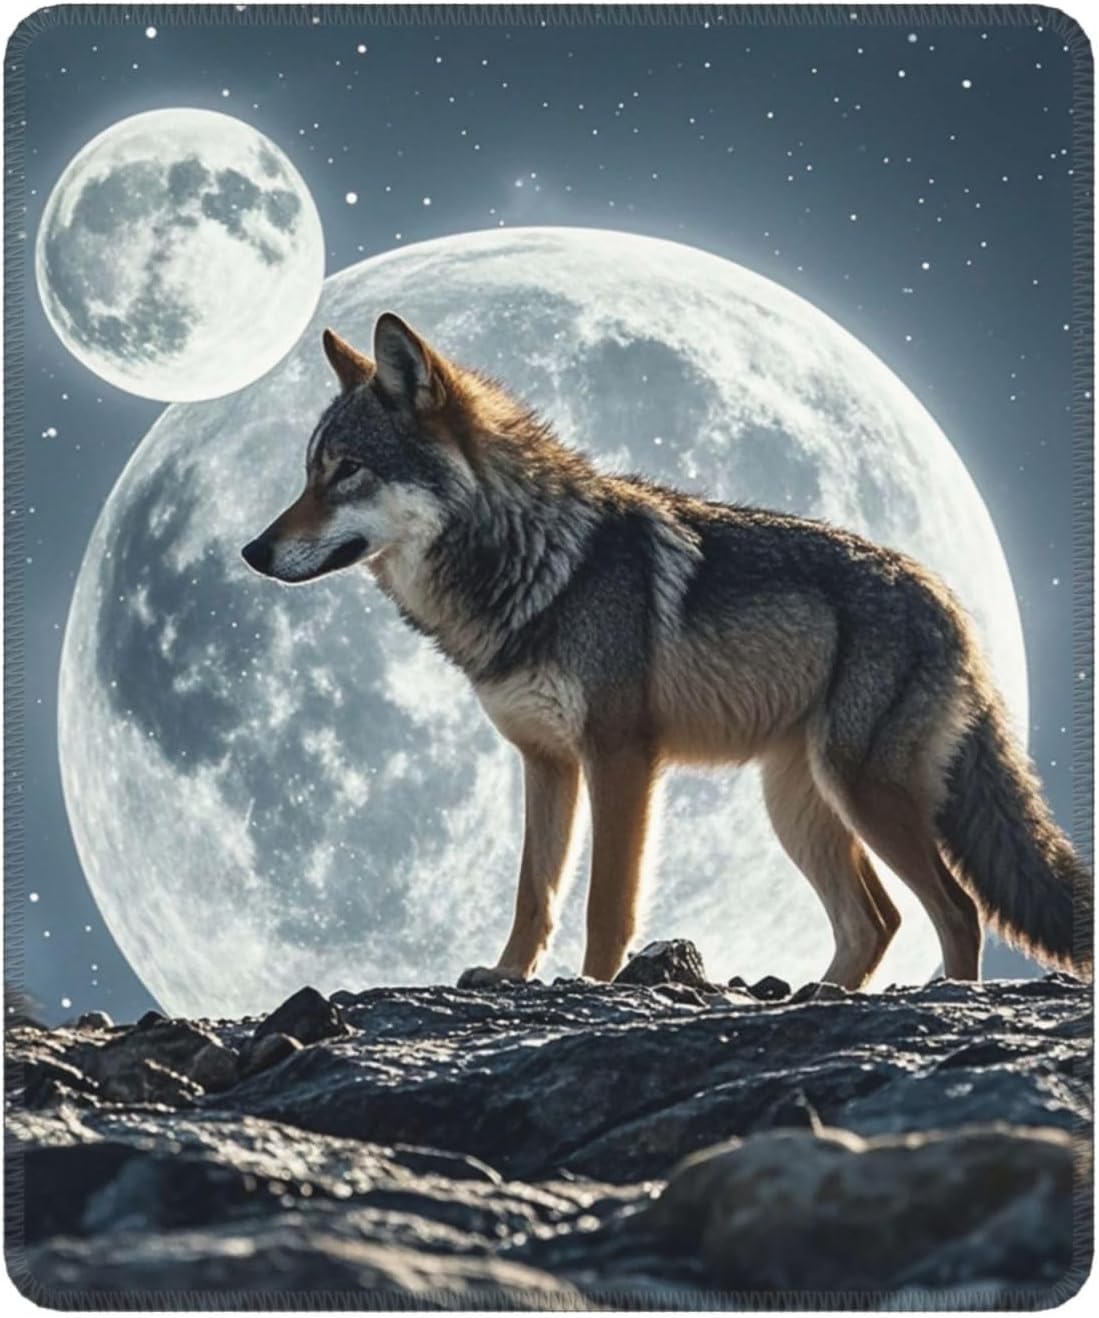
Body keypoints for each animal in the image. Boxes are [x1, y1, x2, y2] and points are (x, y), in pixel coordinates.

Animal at [242, 314, 1093, 989]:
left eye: (347, 470)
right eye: (308, 472)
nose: (253, 551)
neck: (538, 563)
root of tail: (953, 607)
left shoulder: (620, 755)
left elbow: (605, 905)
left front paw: (590, 992)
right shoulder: (544, 762)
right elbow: (534, 893)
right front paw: (509, 976)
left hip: (863, 792)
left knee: (955, 911)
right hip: (801, 805)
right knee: (876, 920)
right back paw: (824, 996)